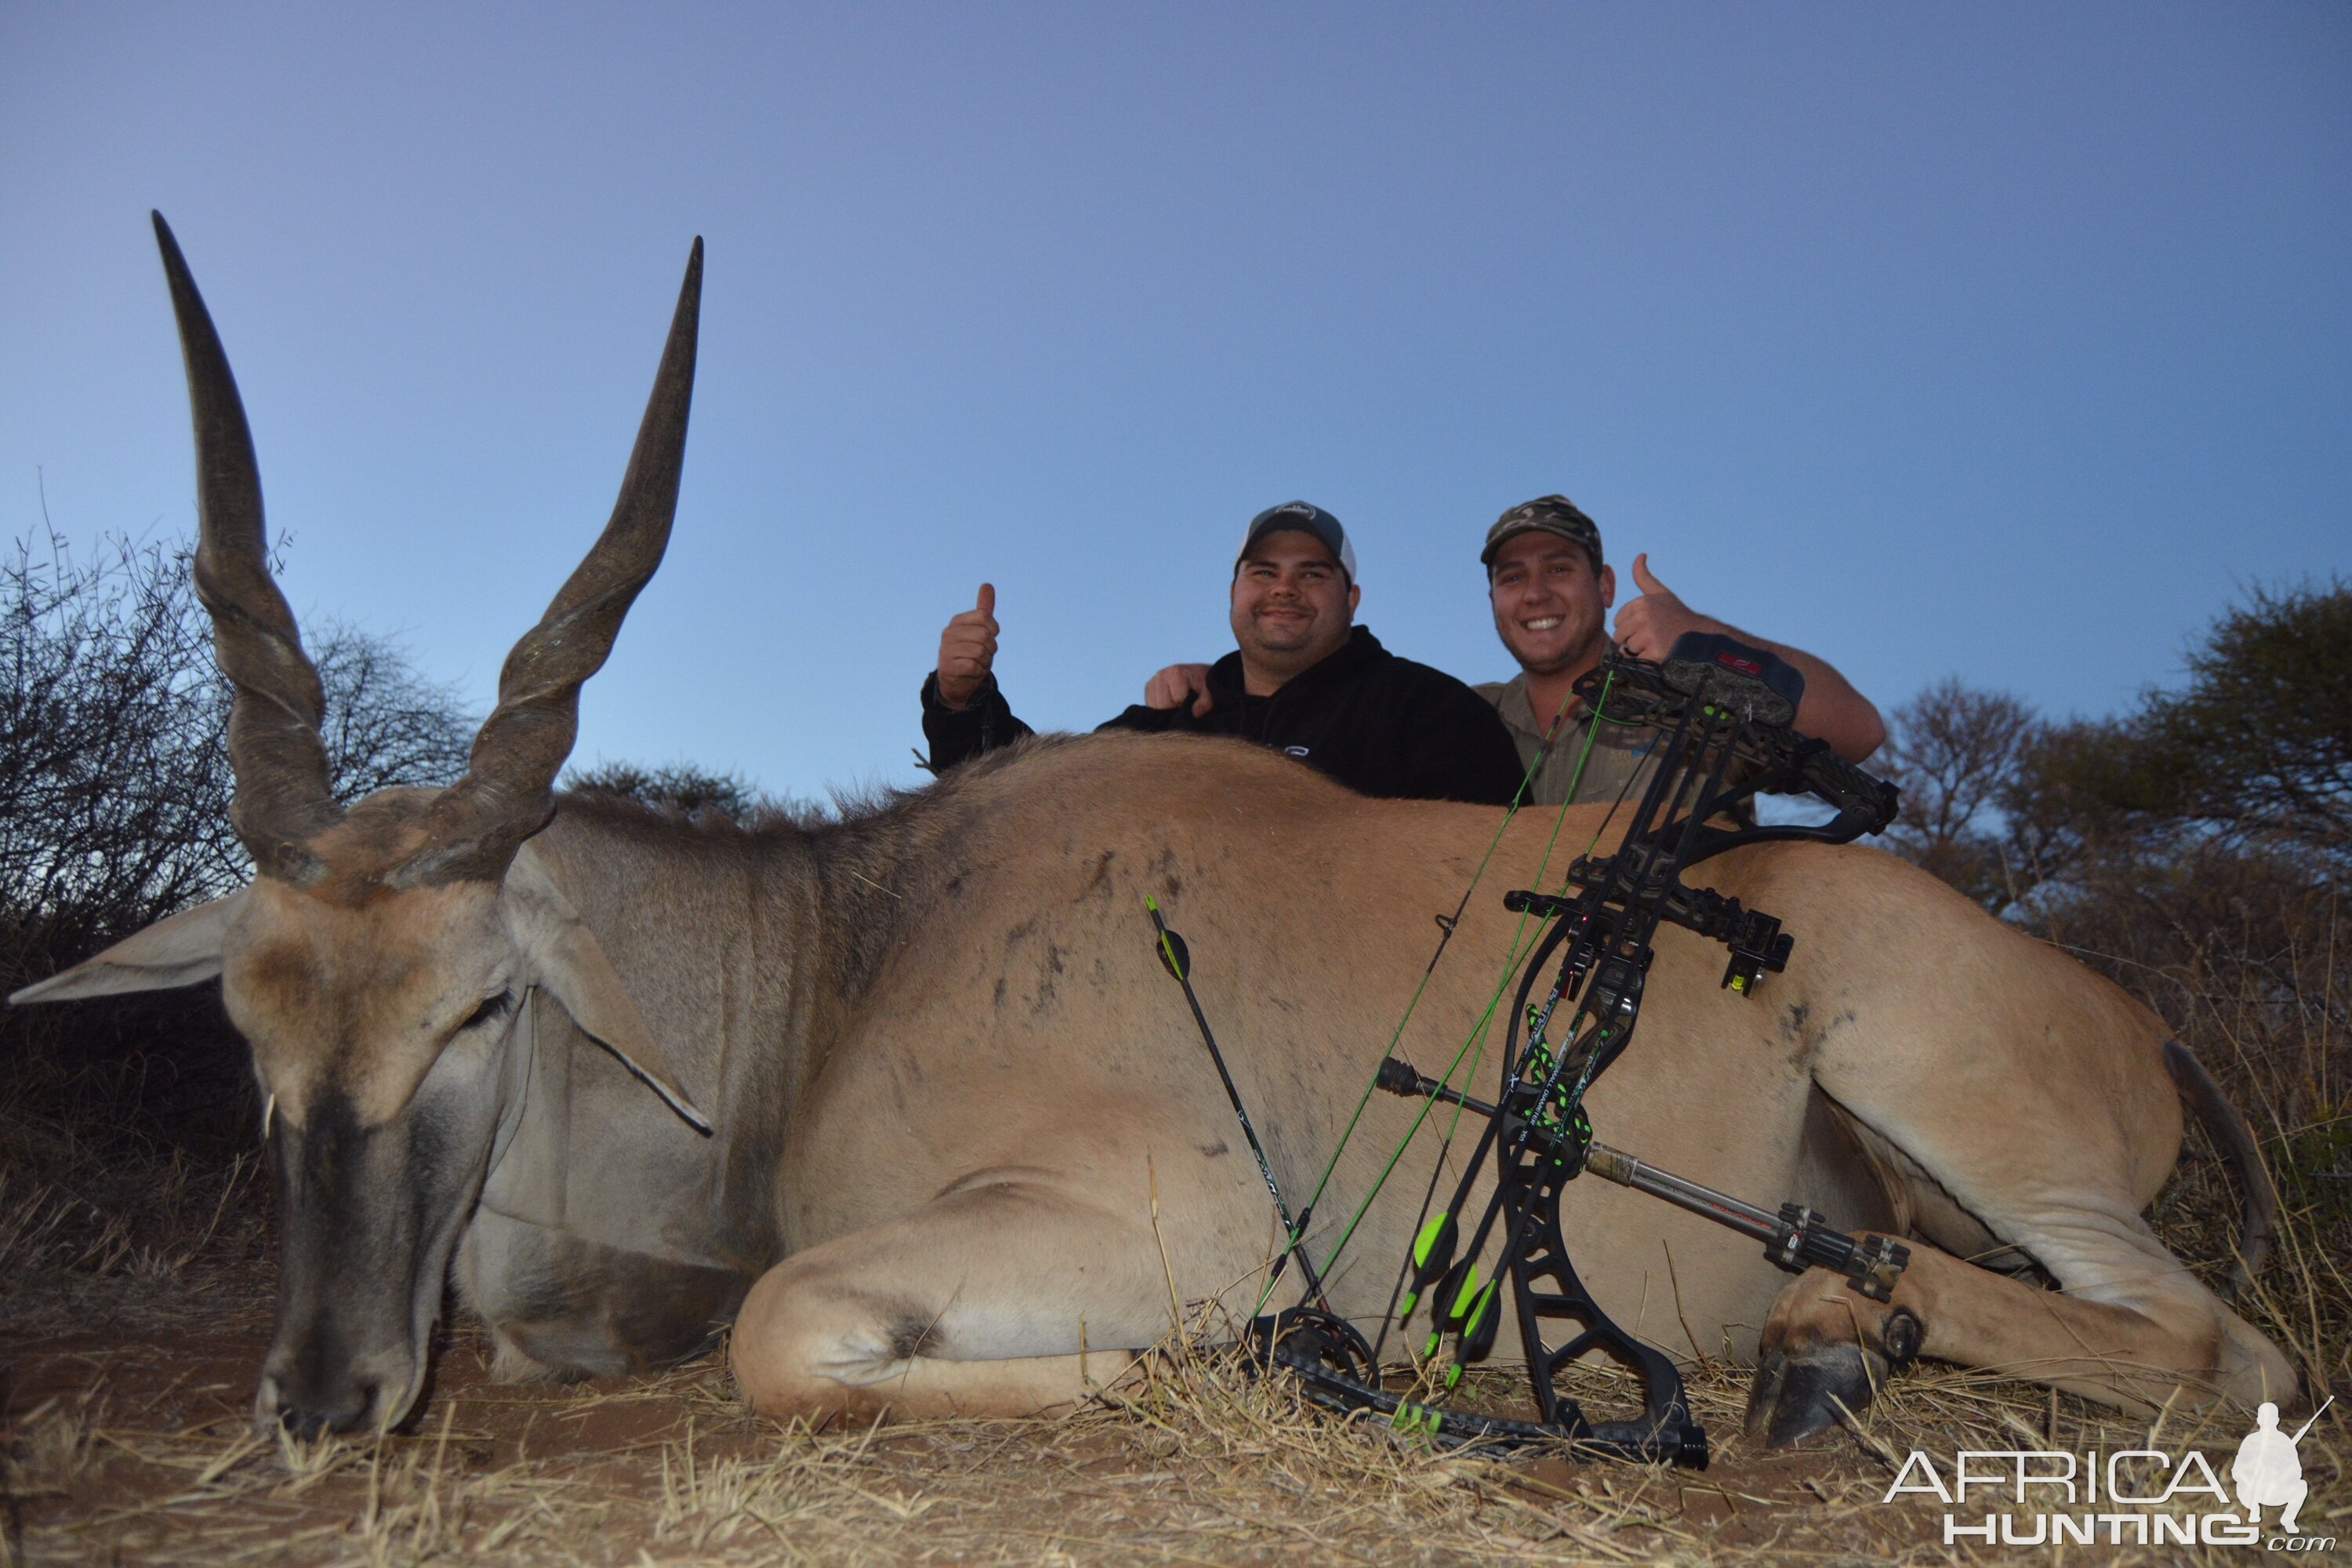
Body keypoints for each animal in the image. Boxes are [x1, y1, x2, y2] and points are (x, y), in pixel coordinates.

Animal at [18, 217, 2296, 1448]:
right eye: (243, 1022)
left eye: (483, 1006)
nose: (320, 1395)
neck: (839, 957)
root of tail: (2134, 1025)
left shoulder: (1156, 1218)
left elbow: (787, 1334)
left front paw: (1250, 1364)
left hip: (1959, 1105)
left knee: (2211, 1338)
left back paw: (1823, 1341)